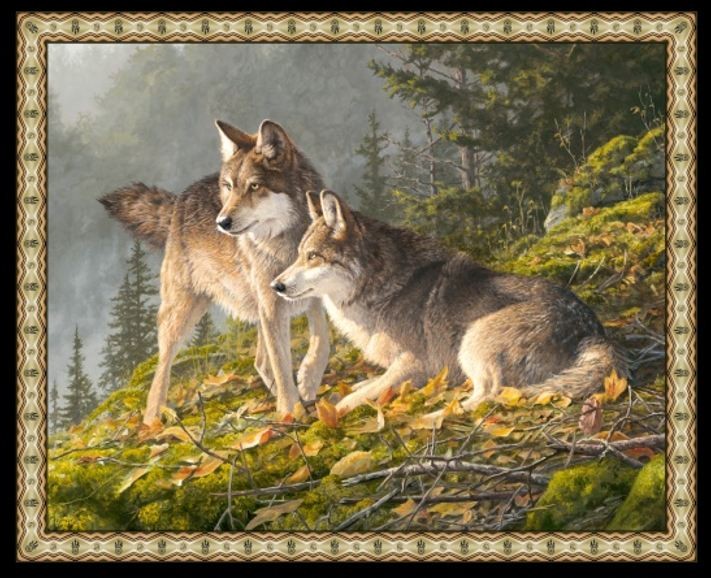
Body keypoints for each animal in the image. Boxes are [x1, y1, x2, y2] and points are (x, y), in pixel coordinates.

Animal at [100, 120, 331, 424]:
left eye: (254, 186)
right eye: (229, 187)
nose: (222, 222)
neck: (288, 242)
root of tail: (180, 200)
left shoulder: (312, 296)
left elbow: (321, 340)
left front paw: (307, 381)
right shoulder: (273, 307)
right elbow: (282, 364)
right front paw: (290, 411)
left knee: (260, 361)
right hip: (181, 315)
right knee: (162, 369)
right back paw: (152, 420)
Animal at [272, 190, 628, 415]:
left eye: (313, 257)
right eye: (299, 255)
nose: (276, 285)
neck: (381, 289)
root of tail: (593, 332)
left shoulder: (416, 366)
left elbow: (352, 399)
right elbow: (362, 385)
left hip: (472, 341)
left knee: (490, 395)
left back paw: (436, 416)